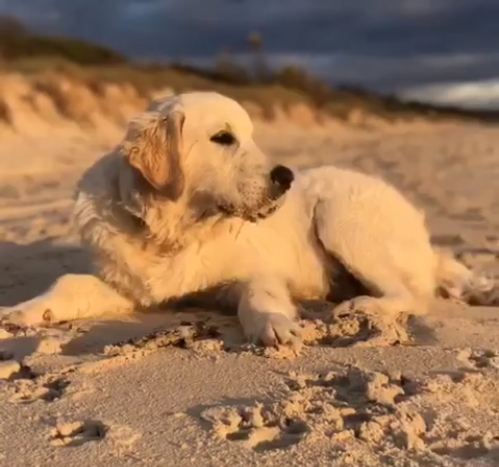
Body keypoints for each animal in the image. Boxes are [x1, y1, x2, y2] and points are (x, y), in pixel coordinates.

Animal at [0, 92, 476, 348]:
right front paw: (22, 312)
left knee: (414, 294)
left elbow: (258, 295)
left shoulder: (253, 271)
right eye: (223, 138)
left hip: (339, 216)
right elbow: (68, 284)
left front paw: (275, 326)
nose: (286, 177)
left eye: (250, 136)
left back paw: (362, 306)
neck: (173, 233)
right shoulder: (129, 285)